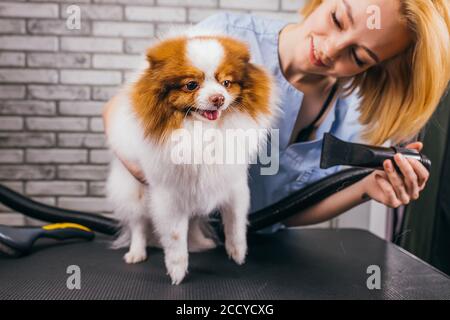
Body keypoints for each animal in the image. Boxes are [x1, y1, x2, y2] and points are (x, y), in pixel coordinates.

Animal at [107, 26, 280, 284]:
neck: (202, 131)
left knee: (195, 219)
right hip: (133, 191)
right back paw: (137, 252)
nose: (218, 98)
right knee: (138, 224)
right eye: (191, 85)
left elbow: (235, 223)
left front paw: (238, 252)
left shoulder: (233, 184)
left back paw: (200, 242)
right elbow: (175, 238)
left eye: (226, 82)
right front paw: (177, 271)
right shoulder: (169, 195)